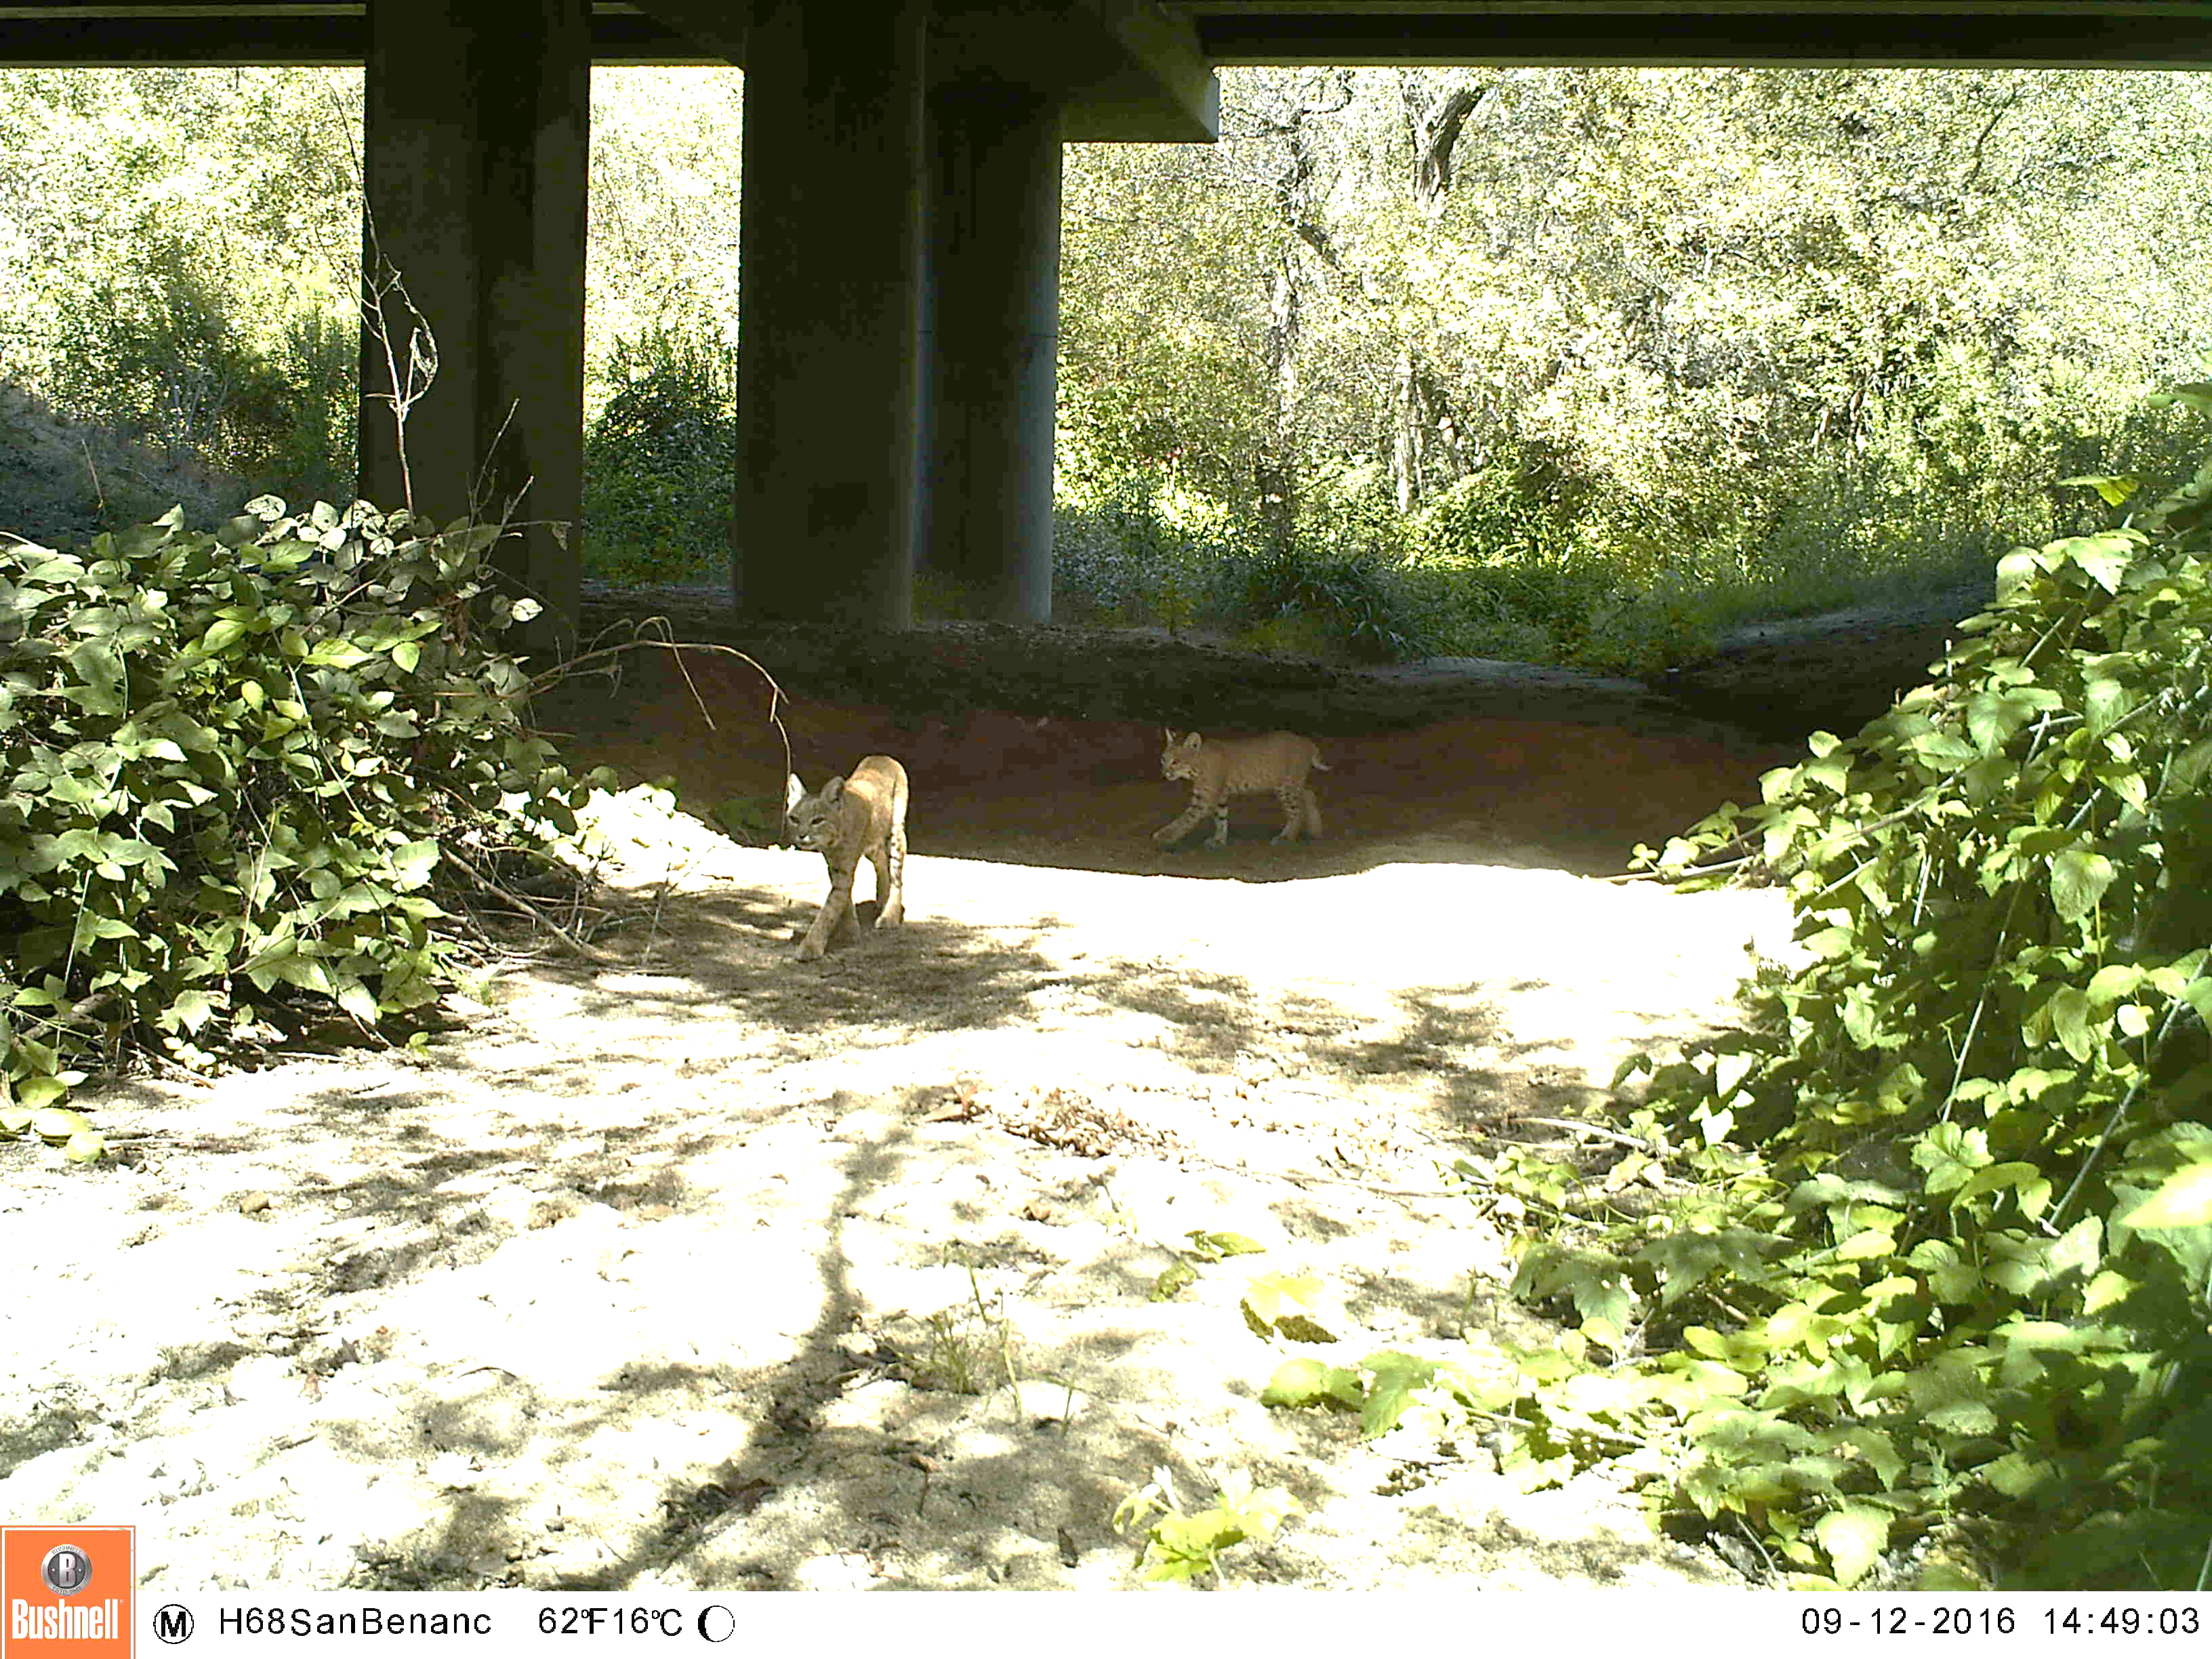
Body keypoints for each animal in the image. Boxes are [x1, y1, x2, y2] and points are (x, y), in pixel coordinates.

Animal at [783, 752, 911, 960]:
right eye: (794, 819)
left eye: (817, 820)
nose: (801, 836)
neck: (834, 840)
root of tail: (882, 756)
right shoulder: (835, 866)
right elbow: (844, 898)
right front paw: (850, 932)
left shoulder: (844, 868)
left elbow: (830, 908)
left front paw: (810, 947)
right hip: (873, 843)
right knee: (881, 860)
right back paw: (882, 899)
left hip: (896, 831)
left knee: (897, 876)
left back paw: (890, 915)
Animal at [1159, 730, 1327, 849]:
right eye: (1163, 759)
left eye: (1176, 762)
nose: (1164, 773)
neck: (1198, 767)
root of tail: (1305, 740)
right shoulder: (1220, 796)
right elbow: (1221, 818)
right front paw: (1219, 840)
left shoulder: (1204, 800)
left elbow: (1185, 819)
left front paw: (1164, 836)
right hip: (1294, 784)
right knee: (1309, 795)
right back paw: (1316, 830)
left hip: (1286, 787)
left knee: (1297, 811)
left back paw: (1286, 838)